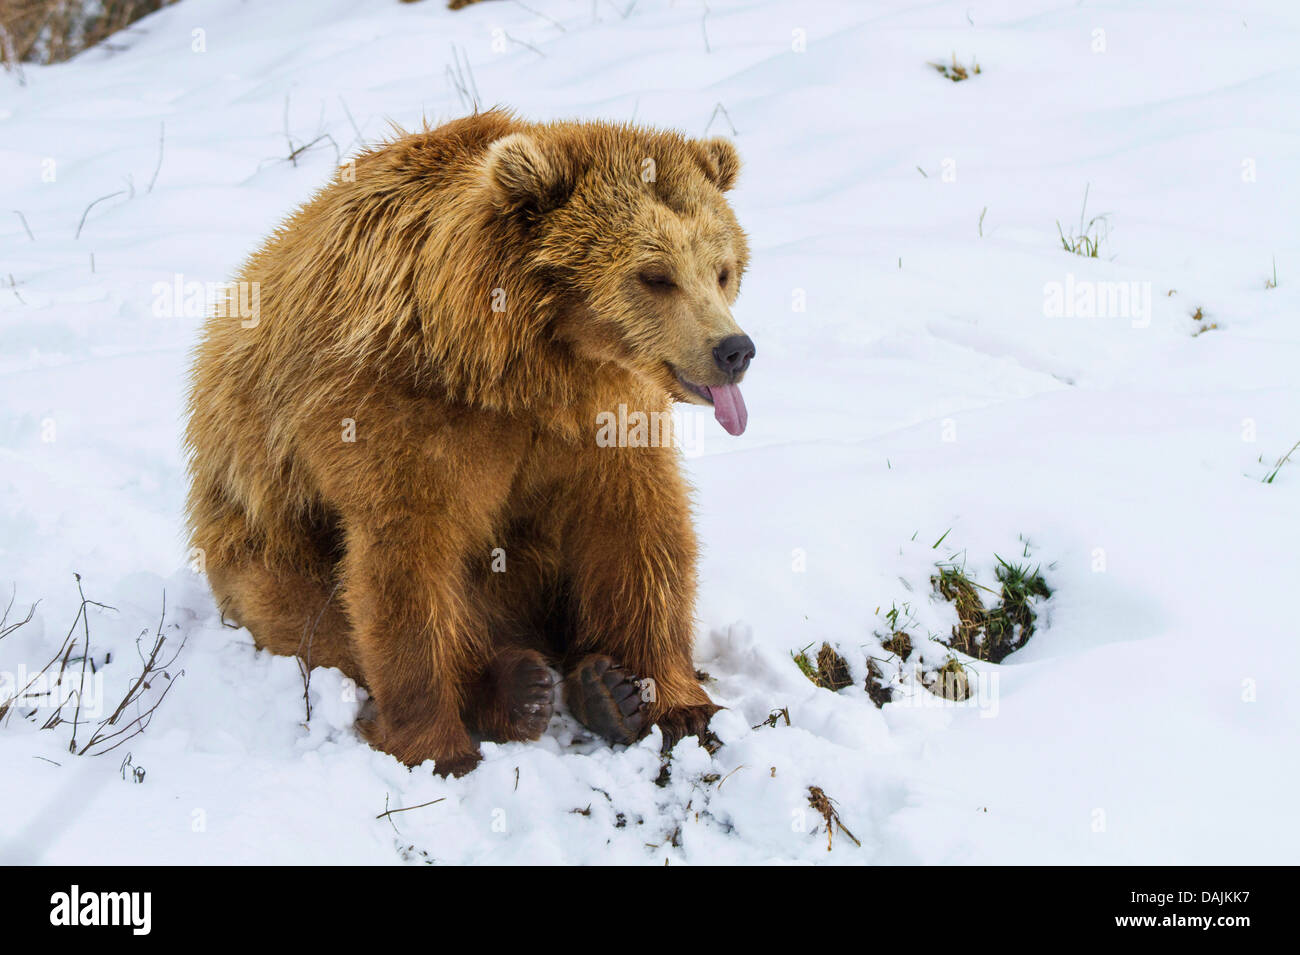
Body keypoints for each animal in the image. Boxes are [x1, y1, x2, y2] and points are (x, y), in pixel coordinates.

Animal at [182, 110, 754, 779]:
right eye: (654, 275)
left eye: (722, 269)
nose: (734, 350)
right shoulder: (394, 411)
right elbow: (406, 562)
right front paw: (439, 747)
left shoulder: (603, 423)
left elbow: (638, 532)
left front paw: (677, 704)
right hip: (262, 538)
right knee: (312, 618)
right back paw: (515, 688)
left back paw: (600, 691)